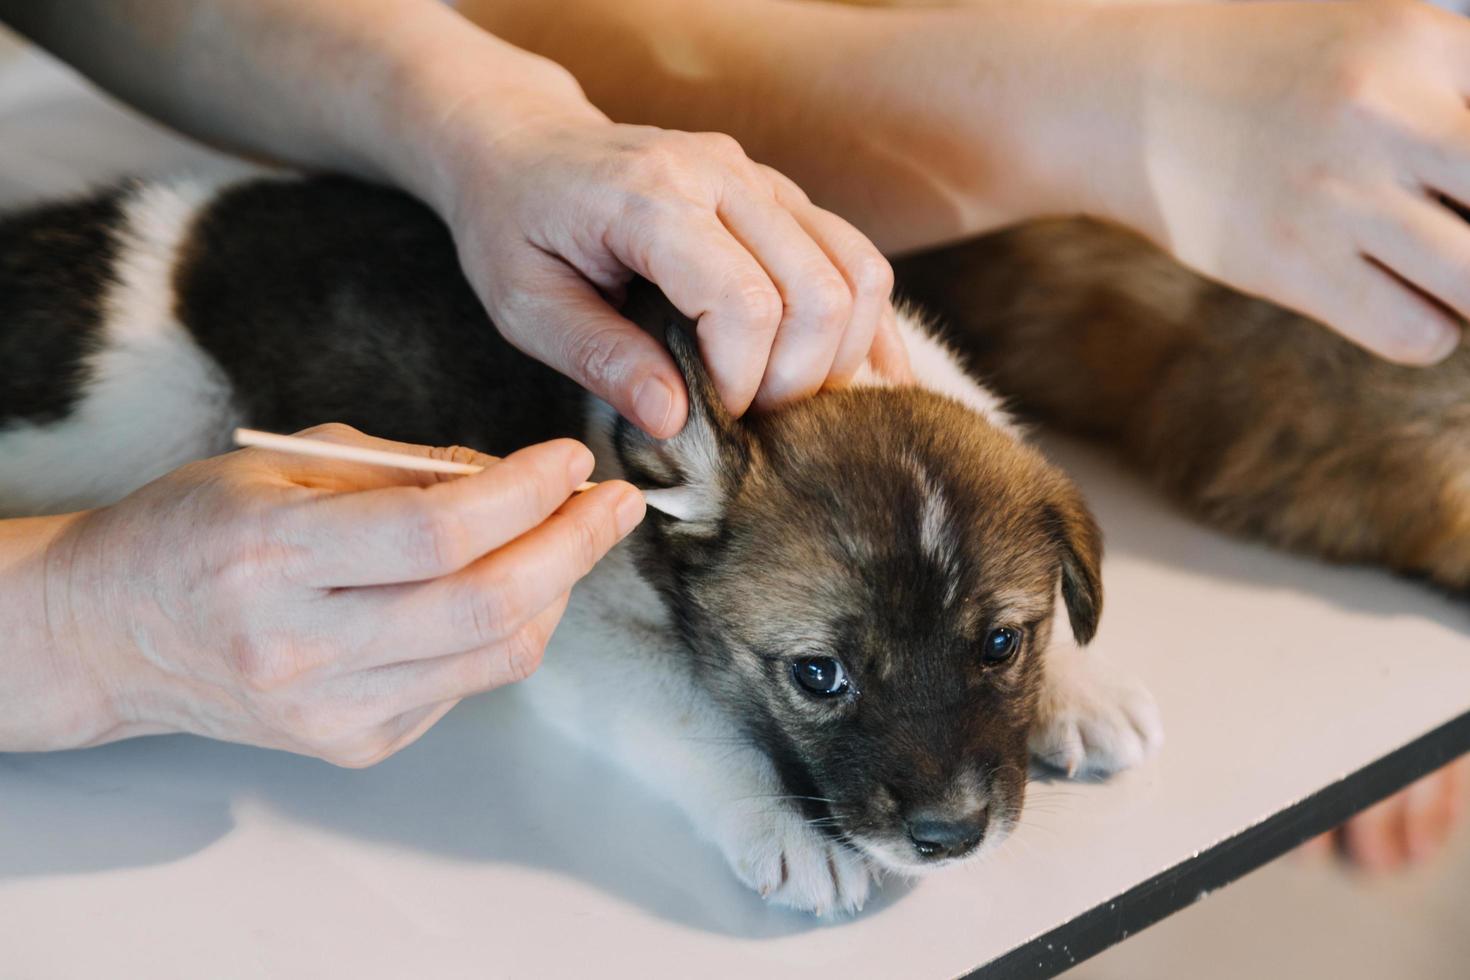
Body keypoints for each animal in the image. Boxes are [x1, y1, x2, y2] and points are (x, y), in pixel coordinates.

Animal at [0, 174, 1164, 910]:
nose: (949, 838)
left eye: (1003, 645)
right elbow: (689, 713)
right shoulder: (582, 633)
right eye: (817, 674)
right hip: (117, 422)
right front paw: (781, 828)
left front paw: (1081, 692)